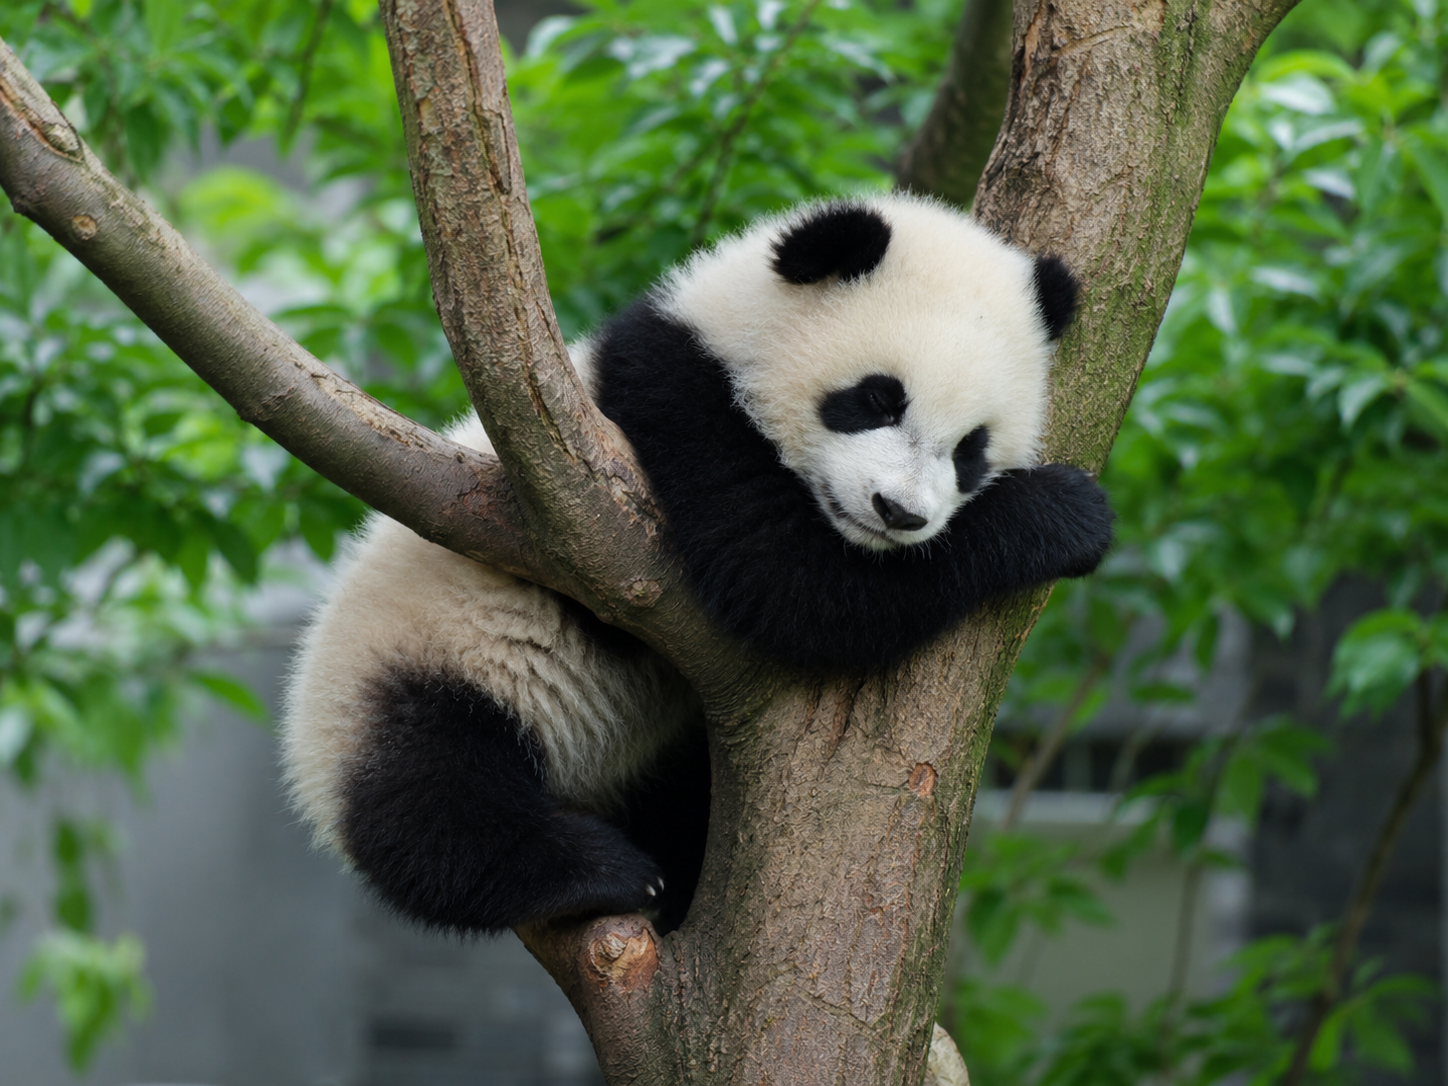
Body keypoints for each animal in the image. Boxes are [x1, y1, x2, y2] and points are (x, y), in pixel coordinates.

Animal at [282, 194, 1113, 936]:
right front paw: (1061, 514)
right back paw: (596, 872)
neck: (729, 331)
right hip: (411, 662)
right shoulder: (668, 407)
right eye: (877, 399)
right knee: (431, 795)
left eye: (971, 448)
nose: (899, 512)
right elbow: (793, 586)